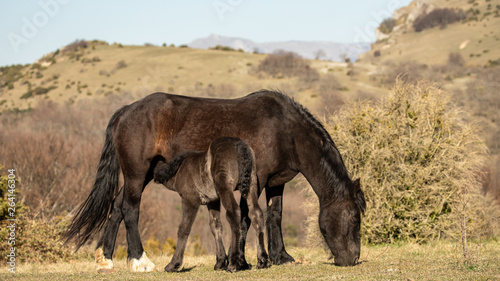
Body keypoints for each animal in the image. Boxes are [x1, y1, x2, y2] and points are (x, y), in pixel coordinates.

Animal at [154, 136, 270, 272]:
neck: (179, 169)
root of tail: (241, 145)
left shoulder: (190, 199)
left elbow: (184, 228)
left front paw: (173, 264)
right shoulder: (213, 200)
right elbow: (215, 225)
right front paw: (220, 263)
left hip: (225, 187)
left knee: (233, 213)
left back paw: (234, 263)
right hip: (251, 185)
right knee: (256, 214)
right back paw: (262, 261)